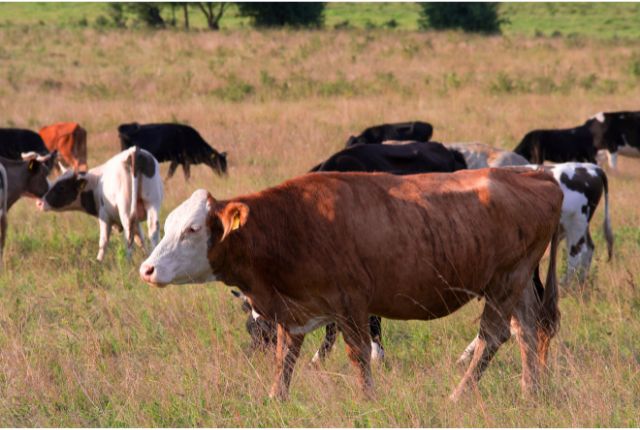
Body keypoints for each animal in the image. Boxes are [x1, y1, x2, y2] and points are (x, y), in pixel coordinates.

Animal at [139, 168, 563, 401]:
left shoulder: (351, 303)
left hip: (505, 282)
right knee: (527, 332)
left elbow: (359, 354)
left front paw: (367, 398)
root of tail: (535, 175)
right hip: (517, 284)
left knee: (493, 337)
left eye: (193, 229)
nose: (147, 269)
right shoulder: (295, 309)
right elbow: (285, 357)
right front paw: (275, 398)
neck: (289, 225)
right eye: (171, 222)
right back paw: (531, 390)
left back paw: (459, 395)